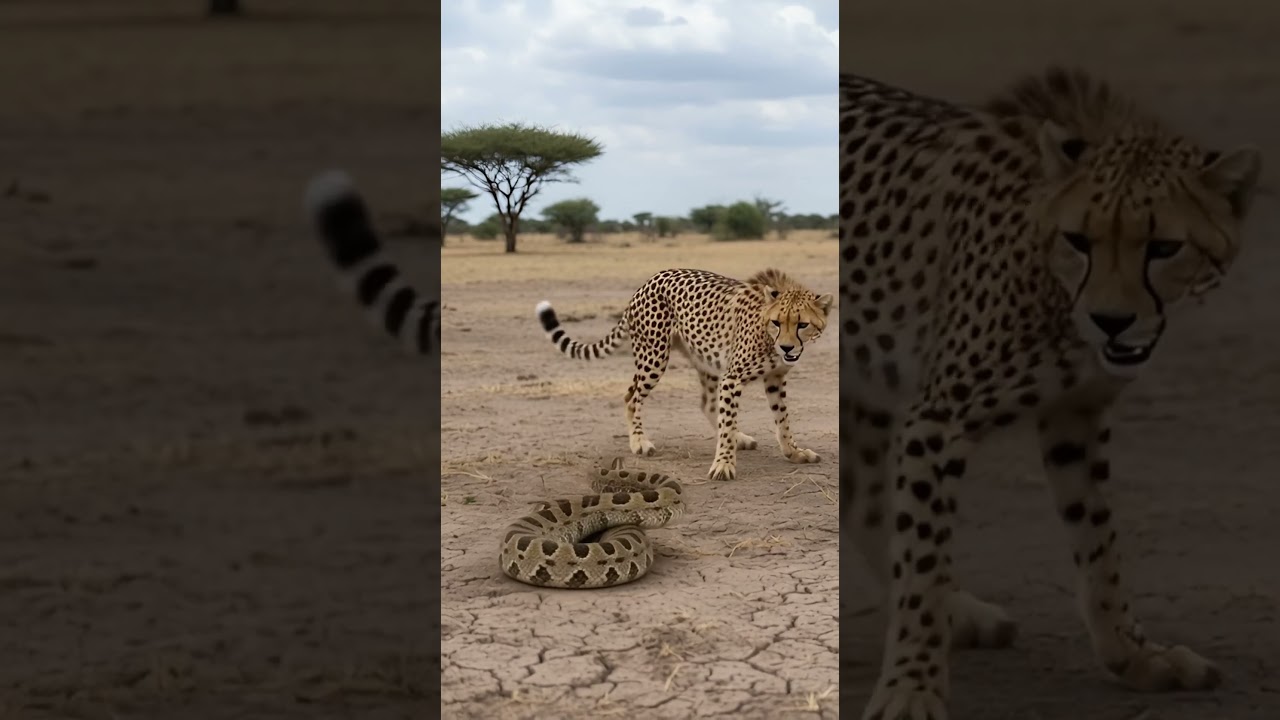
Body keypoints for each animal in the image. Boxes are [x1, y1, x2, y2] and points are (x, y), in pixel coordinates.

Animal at [536, 267, 834, 482]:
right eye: (777, 322)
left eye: (802, 325)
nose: (787, 347)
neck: (768, 336)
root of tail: (650, 280)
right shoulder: (733, 377)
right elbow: (730, 421)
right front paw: (723, 464)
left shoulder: (774, 378)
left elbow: (782, 419)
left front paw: (794, 452)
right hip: (654, 357)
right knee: (631, 396)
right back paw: (639, 442)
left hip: (705, 358)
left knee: (708, 403)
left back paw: (740, 438)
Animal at [839, 67, 1261, 720]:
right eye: (1080, 239)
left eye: (1164, 247)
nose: (1112, 321)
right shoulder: (938, 420)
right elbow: (923, 560)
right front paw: (912, 687)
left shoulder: (1075, 414)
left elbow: (1099, 541)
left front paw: (1134, 655)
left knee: (860, 494)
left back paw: (963, 614)